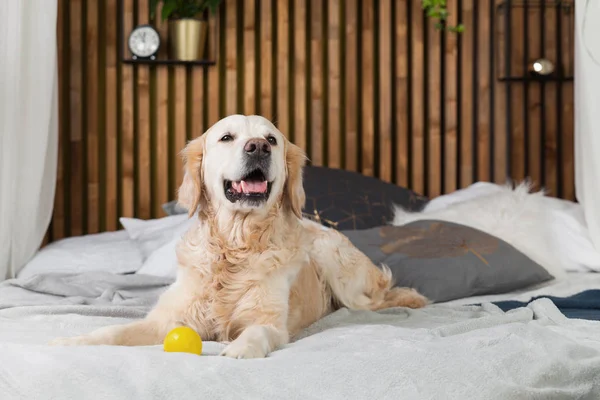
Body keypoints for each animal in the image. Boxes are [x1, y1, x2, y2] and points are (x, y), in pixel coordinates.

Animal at [50, 114, 426, 358]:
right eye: (226, 137)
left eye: (272, 139)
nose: (258, 147)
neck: (235, 245)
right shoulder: (167, 321)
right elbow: (113, 331)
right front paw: (73, 343)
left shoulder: (269, 322)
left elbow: (257, 332)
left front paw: (239, 350)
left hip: (333, 259)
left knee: (378, 298)